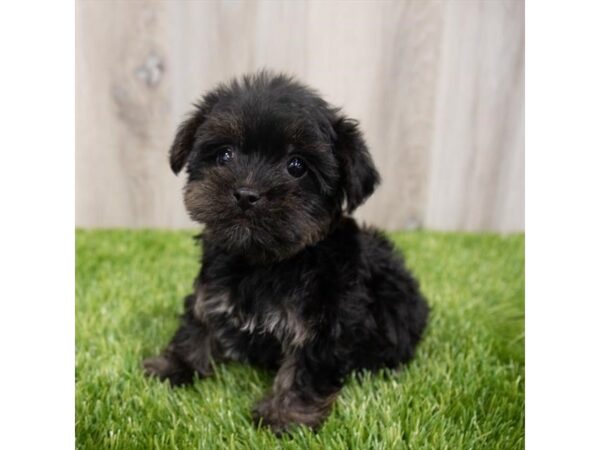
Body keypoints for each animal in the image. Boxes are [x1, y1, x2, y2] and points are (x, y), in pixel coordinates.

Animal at [143, 72, 428, 434]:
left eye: (296, 166)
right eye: (225, 155)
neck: (264, 263)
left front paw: (286, 416)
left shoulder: (325, 323)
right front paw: (174, 366)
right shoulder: (209, 291)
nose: (246, 194)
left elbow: (306, 368)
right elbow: (196, 326)